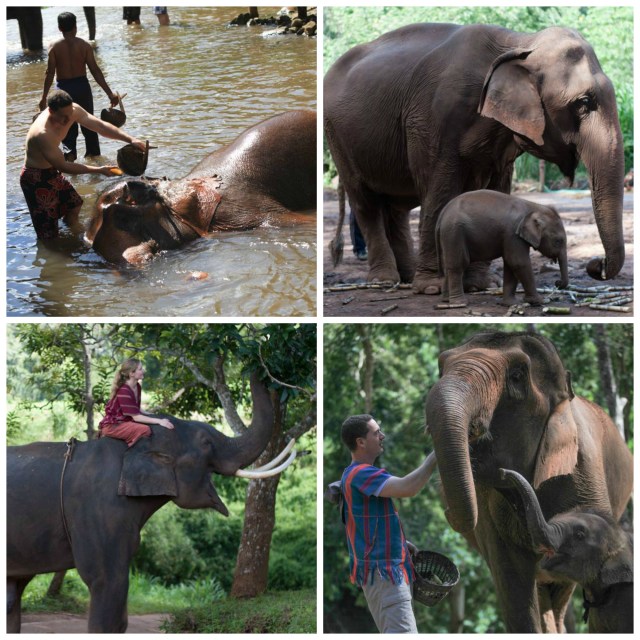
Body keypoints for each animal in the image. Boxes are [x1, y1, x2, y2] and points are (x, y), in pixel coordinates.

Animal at [324, 23, 625, 293]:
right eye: (583, 103)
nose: (596, 265)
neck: (520, 41)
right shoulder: (435, 120)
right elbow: (440, 191)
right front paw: (432, 287)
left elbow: (495, 190)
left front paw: (481, 285)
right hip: (338, 138)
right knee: (366, 203)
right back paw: (384, 281)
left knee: (396, 209)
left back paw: (406, 278)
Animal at [436, 190, 568, 308]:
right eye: (558, 241)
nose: (557, 283)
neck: (533, 206)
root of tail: (442, 213)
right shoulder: (513, 234)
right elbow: (518, 262)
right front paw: (539, 301)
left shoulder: (510, 236)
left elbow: (510, 264)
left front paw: (511, 304)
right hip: (454, 231)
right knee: (458, 264)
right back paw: (459, 303)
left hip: (448, 234)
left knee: (447, 264)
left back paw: (446, 301)